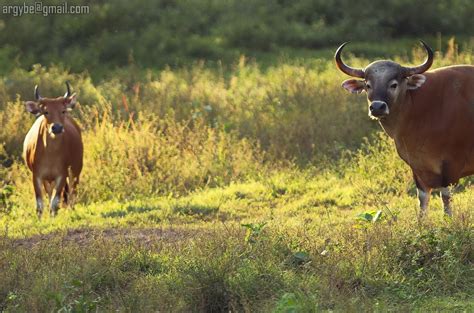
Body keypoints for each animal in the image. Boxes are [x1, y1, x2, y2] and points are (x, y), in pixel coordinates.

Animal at [22, 81, 83, 216]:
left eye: (63, 111)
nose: (57, 128)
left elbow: (55, 202)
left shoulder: (61, 175)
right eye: (46, 112)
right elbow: (40, 203)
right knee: (51, 194)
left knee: (73, 192)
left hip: (76, 170)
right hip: (49, 179)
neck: (50, 154)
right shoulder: (37, 175)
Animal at [336, 40, 474, 217]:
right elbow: (422, 200)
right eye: (368, 85)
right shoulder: (416, 166)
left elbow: (446, 200)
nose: (377, 107)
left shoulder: (452, 165)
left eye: (393, 84)